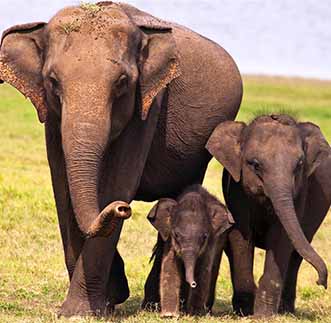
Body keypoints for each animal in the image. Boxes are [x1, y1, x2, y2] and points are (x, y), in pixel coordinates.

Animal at [144, 186, 235, 318]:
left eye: (204, 237)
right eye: (176, 235)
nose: (193, 283)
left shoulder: (212, 241)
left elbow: (203, 270)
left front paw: (195, 314)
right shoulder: (169, 240)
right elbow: (170, 267)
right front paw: (169, 316)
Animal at [208, 115, 331, 318]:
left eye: (299, 165)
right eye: (255, 164)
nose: (321, 282)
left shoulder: (300, 192)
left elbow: (281, 237)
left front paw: (263, 315)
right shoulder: (236, 188)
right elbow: (241, 236)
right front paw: (245, 311)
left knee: (297, 254)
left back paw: (286, 310)